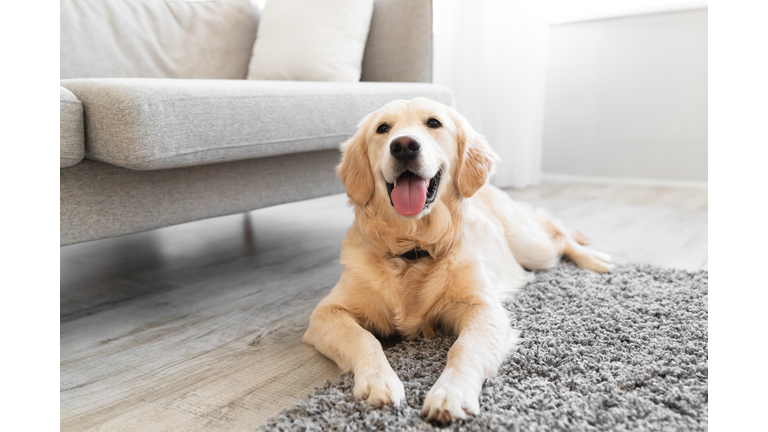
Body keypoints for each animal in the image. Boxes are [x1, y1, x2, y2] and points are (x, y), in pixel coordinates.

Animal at [304, 97, 608, 422]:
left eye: (433, 123)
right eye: (382, 128)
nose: (404, 146)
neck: (413, 249)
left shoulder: (484, 308)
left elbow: (464, 348)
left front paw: (451, 392)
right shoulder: (327, 312)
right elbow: (364, 338)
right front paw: (378, 381)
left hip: (532, 246)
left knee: (559, 235)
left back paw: (596, 259)